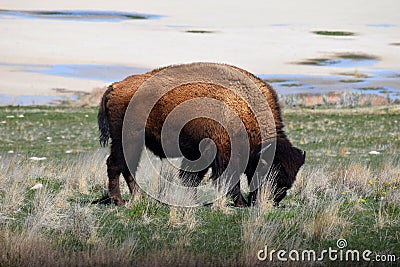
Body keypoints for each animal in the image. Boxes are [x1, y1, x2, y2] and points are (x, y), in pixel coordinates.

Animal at [98, 62, 304, 207]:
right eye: (273, 173)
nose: (271, 201)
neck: (244, 109)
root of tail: (116, 86)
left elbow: (192, 177)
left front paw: (193, 201)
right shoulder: (224, 154)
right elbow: (228, 180)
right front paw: (240, 203)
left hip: (132, 143)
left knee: (127, 166)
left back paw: (137, 197)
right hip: (127, 139)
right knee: (115, 164)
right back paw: (119, 201)